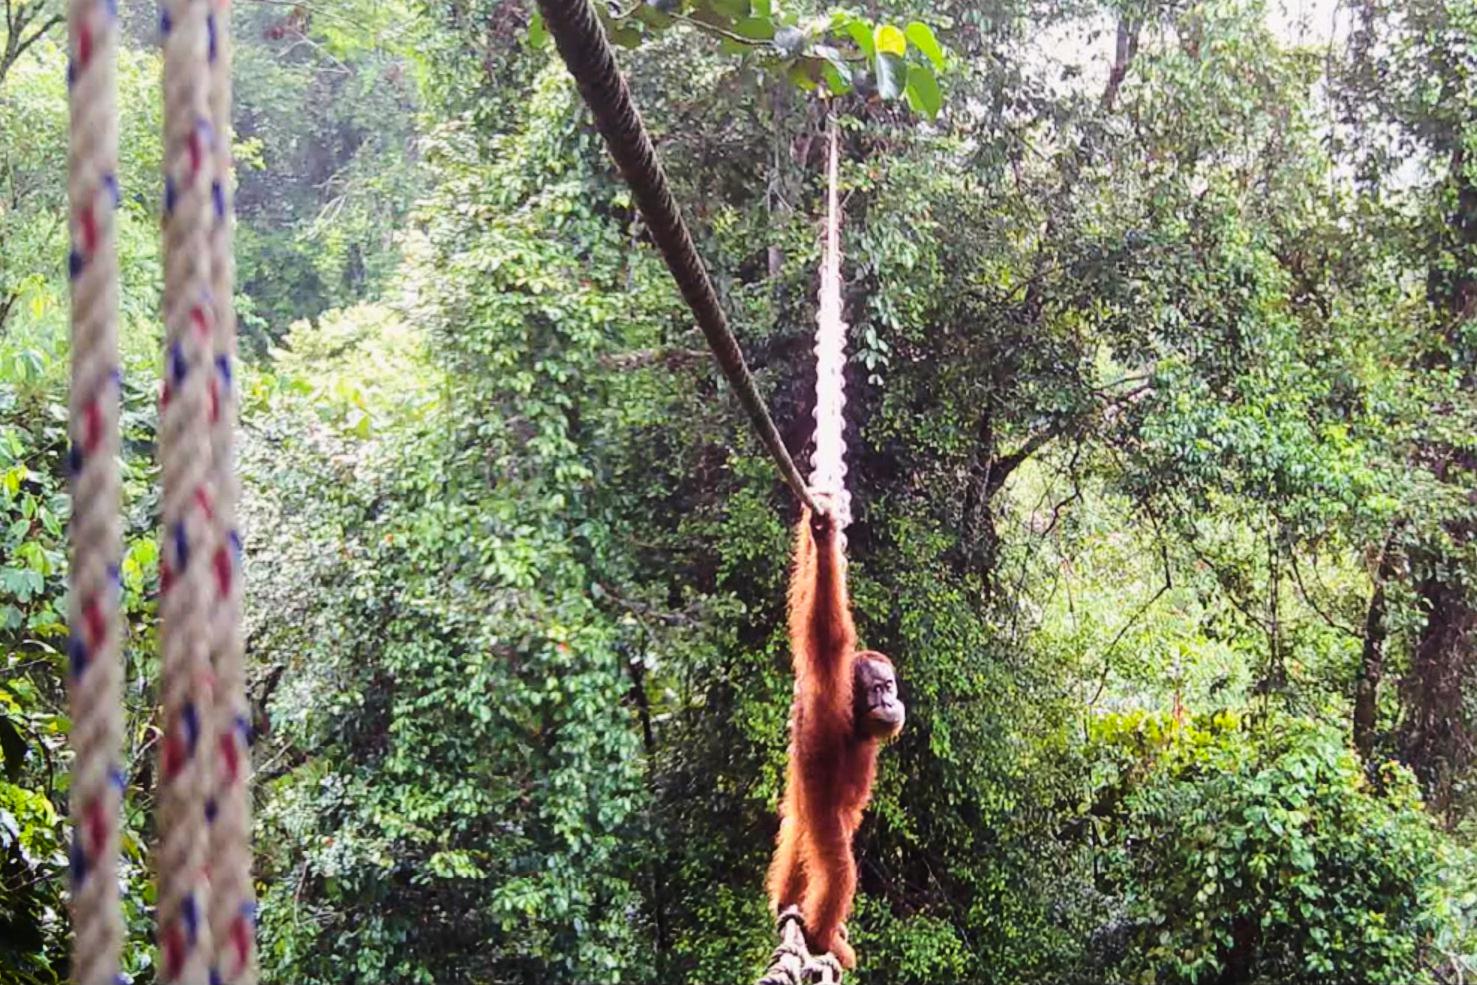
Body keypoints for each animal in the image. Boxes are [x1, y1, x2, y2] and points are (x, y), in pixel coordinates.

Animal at [765, 494, 904, 970]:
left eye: (890, 686)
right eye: (878, 689)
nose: (891, 701)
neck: (856, 721)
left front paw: (818, 530)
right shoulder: (830, 688)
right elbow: (826, 631)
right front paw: (825, 539)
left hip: (801, 808)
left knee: (795, 839)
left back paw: (787, 905)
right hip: (821, 816)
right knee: (838, 868)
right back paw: (822, 935)